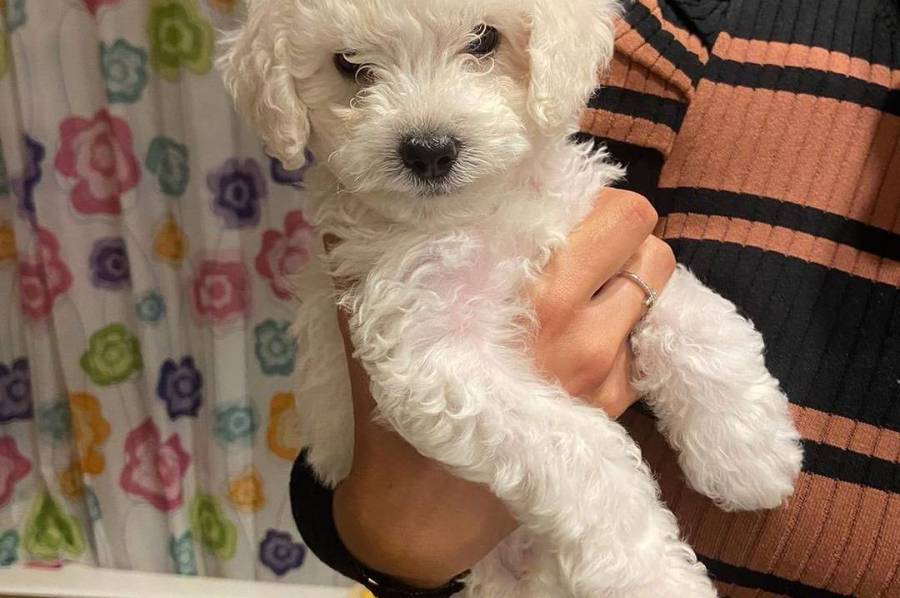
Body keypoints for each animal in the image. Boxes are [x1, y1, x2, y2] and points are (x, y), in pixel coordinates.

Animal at [221, 1, 804, 595]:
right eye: (348, 64)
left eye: (483, 40)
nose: (428, 151)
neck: (481, 210)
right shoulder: (432, 345)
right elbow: (582, 449)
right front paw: (651, 575)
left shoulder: (606, 237)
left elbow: (697, 318)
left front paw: (749, 451)